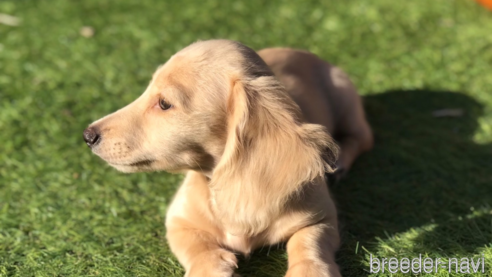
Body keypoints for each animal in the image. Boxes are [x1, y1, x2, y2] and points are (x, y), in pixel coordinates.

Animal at [82, 39, 370, 276]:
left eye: (164, 103)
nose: (87, 135)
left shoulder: (322, 216)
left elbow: (308, 242)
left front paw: (309, 270)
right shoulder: (177, 220)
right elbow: (195, 246)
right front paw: (210, 267)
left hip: (345, 99)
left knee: (363, 137)